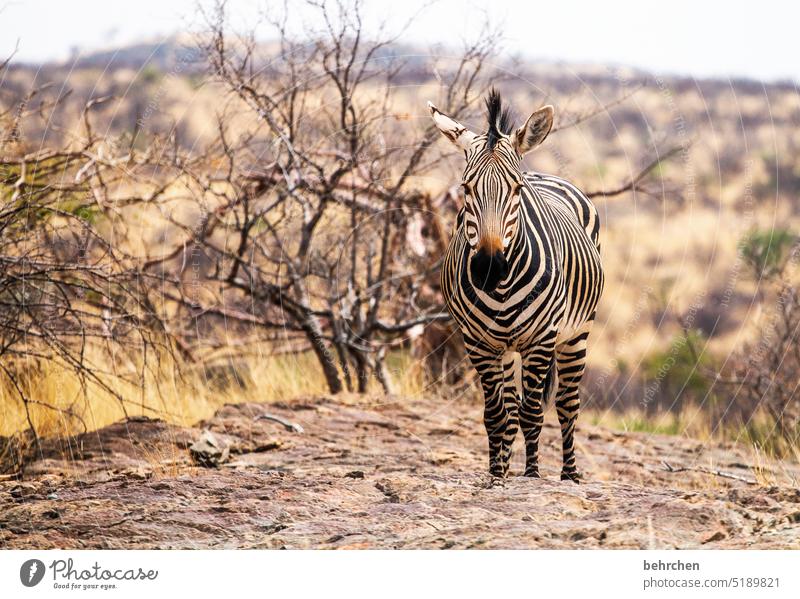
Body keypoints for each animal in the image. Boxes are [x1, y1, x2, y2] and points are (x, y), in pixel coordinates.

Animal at [428, 89, 604, 482]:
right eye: (466, 188)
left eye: (516, 189)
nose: (489, 267)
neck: (502, 287)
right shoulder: (477, 342)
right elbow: (497, 415)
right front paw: (497, 475)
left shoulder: (541, 340)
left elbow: (532, 413)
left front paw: (532, 475)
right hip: (505, 349)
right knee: (511, 407)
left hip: (576, 333)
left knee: (566, 404)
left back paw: (568, 474)